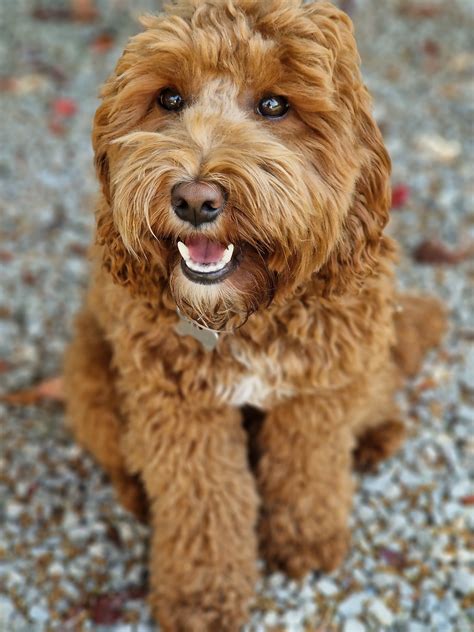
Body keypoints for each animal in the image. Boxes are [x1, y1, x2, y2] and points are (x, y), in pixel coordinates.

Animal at [65, 2, 446, 628]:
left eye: (274, 105)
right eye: (169, 98)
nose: (195, 199)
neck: (246, 314)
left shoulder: (318, 388)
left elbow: (307, 467)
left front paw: (305, 540)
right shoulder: (178, 405)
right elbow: (204, 502)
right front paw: (200, 598)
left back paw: (377, 433)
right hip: (92, 381)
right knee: (122, 454)